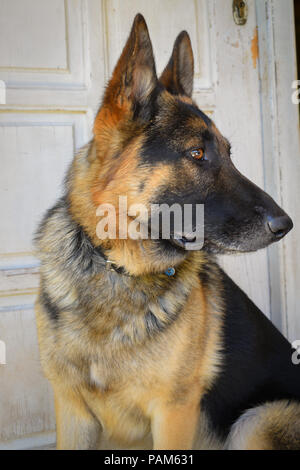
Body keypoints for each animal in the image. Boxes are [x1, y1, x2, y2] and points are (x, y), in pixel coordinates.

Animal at [35, 13, 300, 448]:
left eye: (229, 154)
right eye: (197, 153)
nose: (286, 225)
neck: (118, 272)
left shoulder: (174, 413)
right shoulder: (71, 411)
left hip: (256, 421)